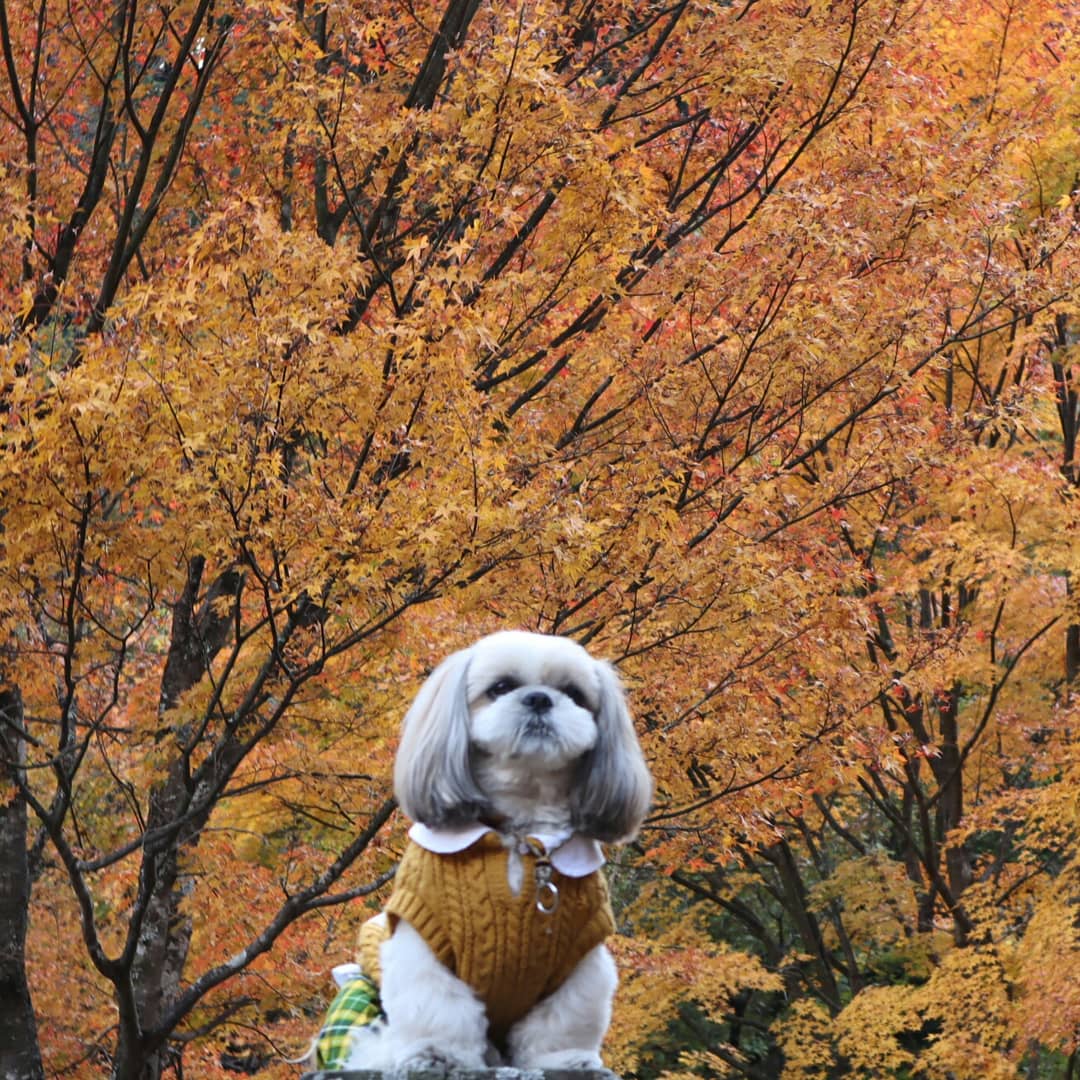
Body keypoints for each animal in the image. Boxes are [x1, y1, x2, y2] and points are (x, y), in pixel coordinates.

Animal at [341, 630, 652, 1071]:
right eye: (501, 687)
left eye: (573, 693)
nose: (539, 699)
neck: (521, 830)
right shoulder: (425, 943)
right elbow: (438, 1008)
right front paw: (436, 1055)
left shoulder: (581, 959)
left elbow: (564, 1021)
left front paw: (566, 1061)